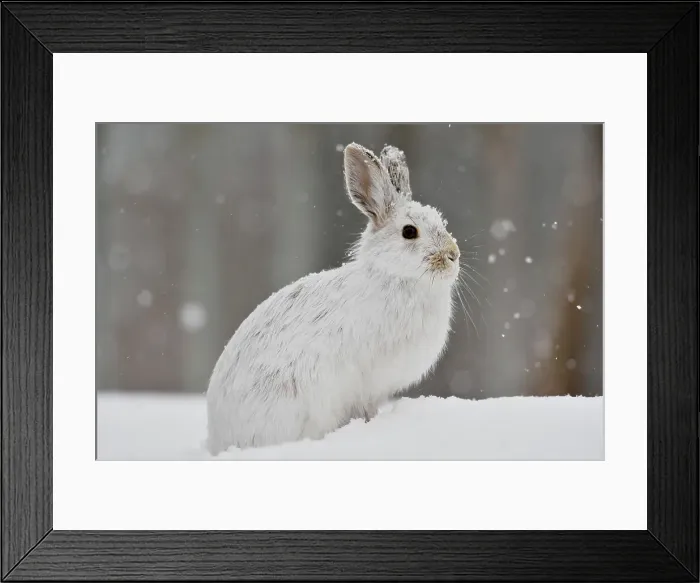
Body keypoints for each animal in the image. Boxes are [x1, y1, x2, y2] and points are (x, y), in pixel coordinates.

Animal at [205, 142, 461, 454]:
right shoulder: (369, 381)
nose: (453, 255)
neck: (394, 276)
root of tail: (221, 439)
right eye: (409, 232)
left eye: (441, 221)